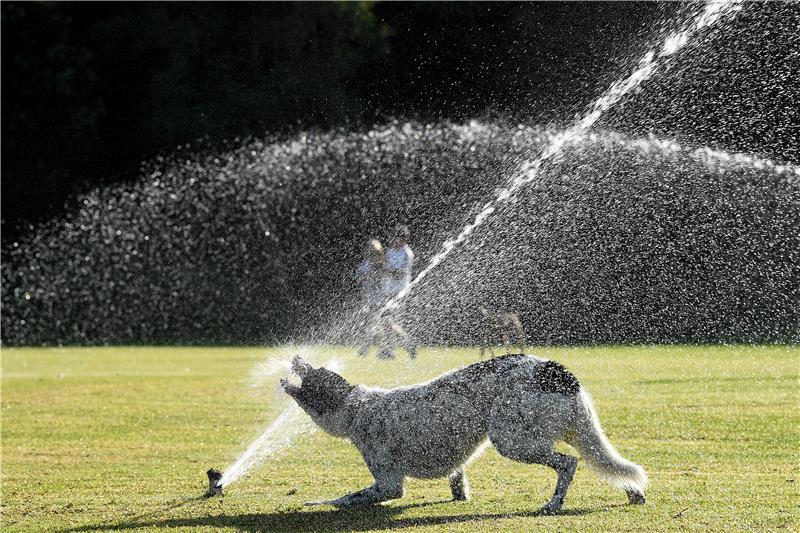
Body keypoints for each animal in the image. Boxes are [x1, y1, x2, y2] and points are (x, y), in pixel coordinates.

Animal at [280, 352, 644, 510]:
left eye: (310, 372)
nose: (296, 355)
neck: (356, 406)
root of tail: (557, 371)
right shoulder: (454, 465)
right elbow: (458, 483)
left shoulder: (388, 484)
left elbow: (346, 498)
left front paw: (317, 503)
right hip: (577, 433)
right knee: (612, 466)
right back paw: (634, 493)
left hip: (513, 441)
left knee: (568, 463)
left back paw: (553, 504)